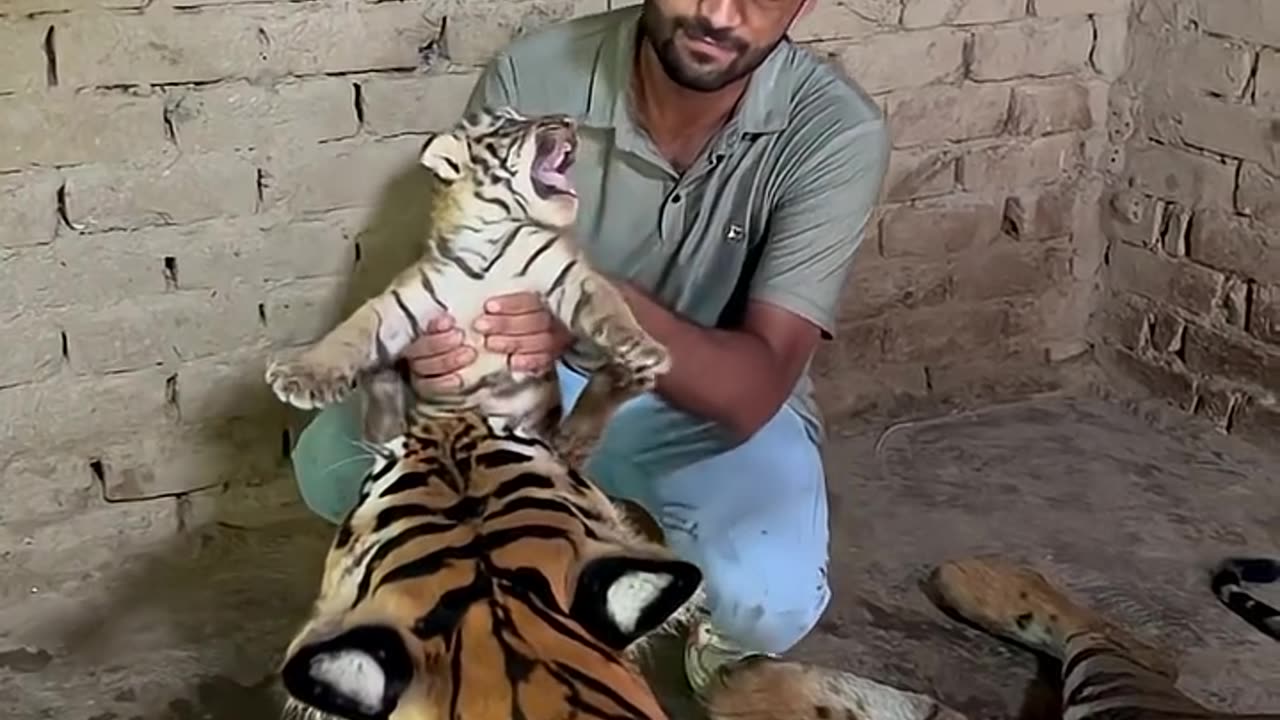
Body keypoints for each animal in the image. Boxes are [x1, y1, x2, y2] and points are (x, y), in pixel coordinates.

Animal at [264, 104, 670, 459]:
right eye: (508, 122)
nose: (569, 120)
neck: (491, 236)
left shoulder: (569, 276)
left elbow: (611, 308)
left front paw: (645, 348)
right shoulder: (405, 301)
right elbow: (351, 331)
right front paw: (299, 375)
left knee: (577, 433)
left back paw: (628, 374)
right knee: (382, 428)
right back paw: (380, 376)